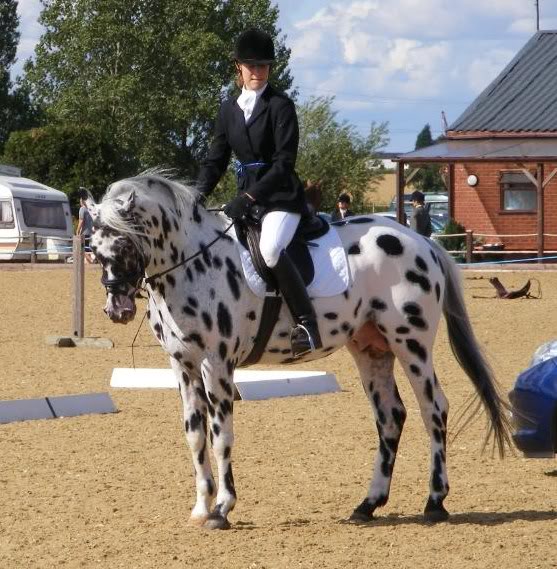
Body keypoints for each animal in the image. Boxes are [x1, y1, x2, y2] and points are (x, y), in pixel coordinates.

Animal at [87, 172, 508, 528]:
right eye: (93, 248)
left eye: (124, 241)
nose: (118, 310)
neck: (191, 265)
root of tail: (422, 241)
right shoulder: (183, 365)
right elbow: (195, 434)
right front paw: (201, 507)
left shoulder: (215, 364)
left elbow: (221, 433)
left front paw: (222, 508)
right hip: (370, 347)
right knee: (390, 416)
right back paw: (368, 504)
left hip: (411, 342)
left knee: (433, 408)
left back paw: (435, 501)